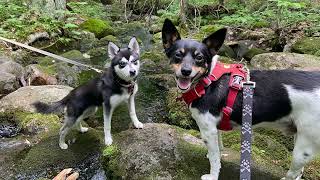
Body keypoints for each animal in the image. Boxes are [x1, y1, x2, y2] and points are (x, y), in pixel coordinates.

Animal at [161, 18, 320, 180]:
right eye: (178, 55)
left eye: (199, 57)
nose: (186, 71)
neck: (207, 81)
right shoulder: (215, 129)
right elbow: (218, 150)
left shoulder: (208, 130)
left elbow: (214, 158)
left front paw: (213, 175)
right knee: (299, 172)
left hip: (303, 149)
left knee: (292, 173)